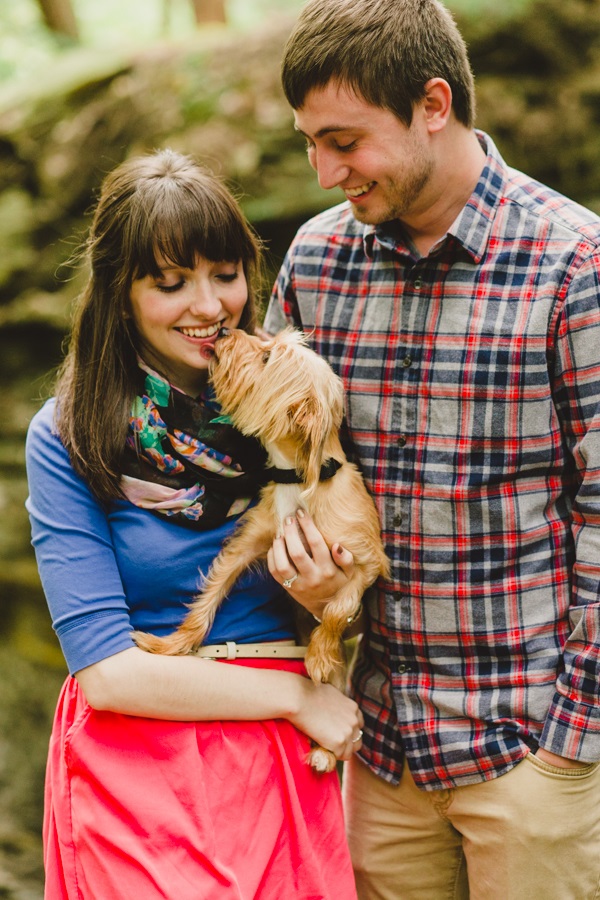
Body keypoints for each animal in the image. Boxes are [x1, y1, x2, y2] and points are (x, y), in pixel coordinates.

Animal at [134, 326, 390, 768]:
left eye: (268, 357)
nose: (225, 330)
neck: (299, 481)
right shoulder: (245, 546)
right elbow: (207, 601)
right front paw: (171, 645)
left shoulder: (366, 562)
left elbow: (337, 609)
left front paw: (318, 656)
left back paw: (325, 749)